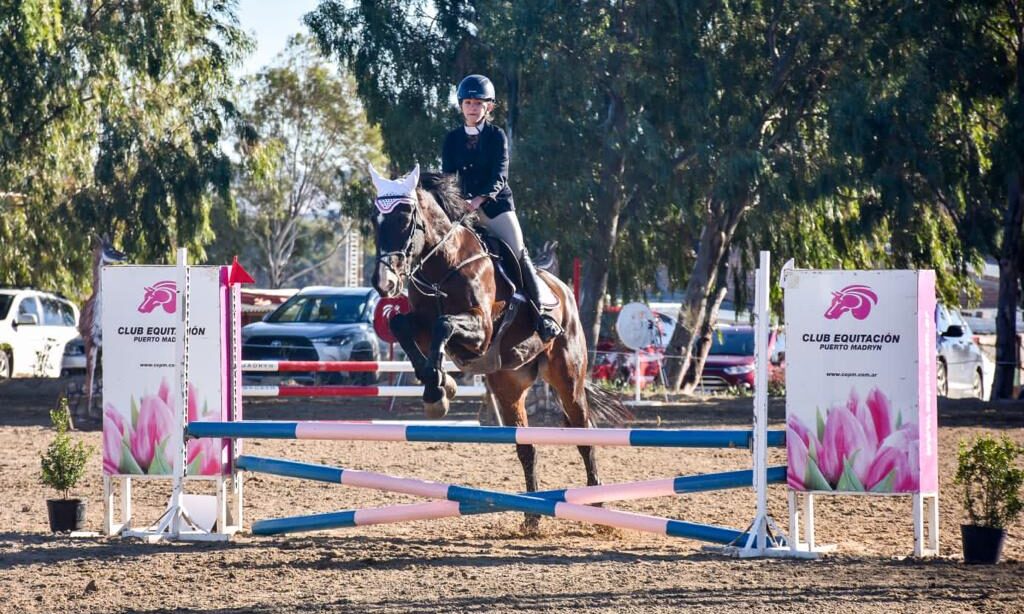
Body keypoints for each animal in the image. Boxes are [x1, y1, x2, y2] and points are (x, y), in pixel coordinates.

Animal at [366, 165, 622, 528]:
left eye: (406, 220)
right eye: (375, 221)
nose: (383, 283)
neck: (443, 267)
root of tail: (564, 291)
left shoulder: (481, 330)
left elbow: (444, 324)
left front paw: (439, 391)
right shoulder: (423, 326)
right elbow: (401, 325)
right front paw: (440, 387)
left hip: (567, 378)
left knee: (584, 438)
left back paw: (596, 505)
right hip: (508, 385)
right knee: (526, 447)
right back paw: (532, 518)